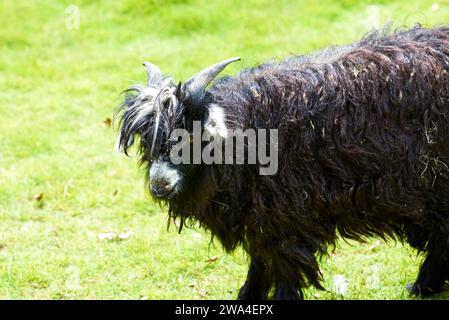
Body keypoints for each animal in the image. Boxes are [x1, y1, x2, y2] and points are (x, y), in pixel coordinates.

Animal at [114, 25, 448, 300]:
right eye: (147, 139)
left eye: (193, 138)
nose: (160, 185)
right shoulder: (259, 217)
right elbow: (259, 264)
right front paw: (247, 297)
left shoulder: (288, 218)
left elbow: (285, 268)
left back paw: (423, 284)